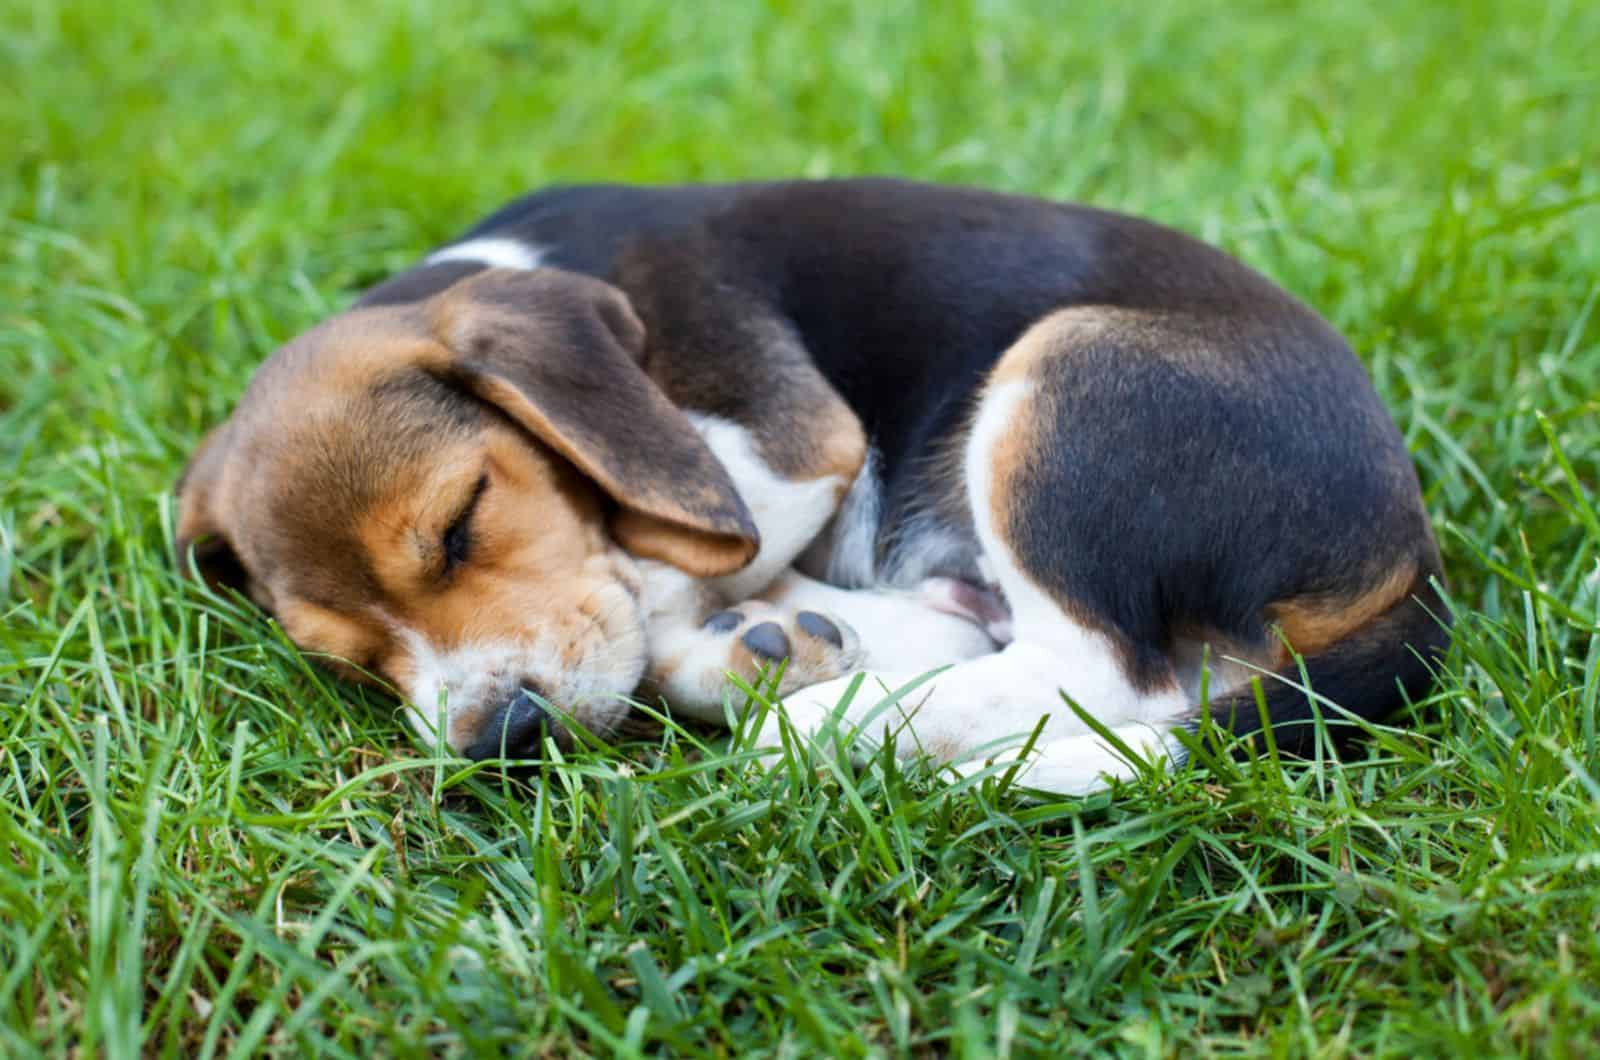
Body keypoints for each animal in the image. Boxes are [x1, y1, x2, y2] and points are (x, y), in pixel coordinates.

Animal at [175, 180, 1452, 797]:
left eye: (459, 525)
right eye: (348, 658)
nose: (501, 739)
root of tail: (1406, 556)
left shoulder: (782, 440)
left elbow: (666, 558)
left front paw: (714, 635)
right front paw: (758, 635)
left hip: (1066, 385)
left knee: (1111, 678)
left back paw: (843, 722)